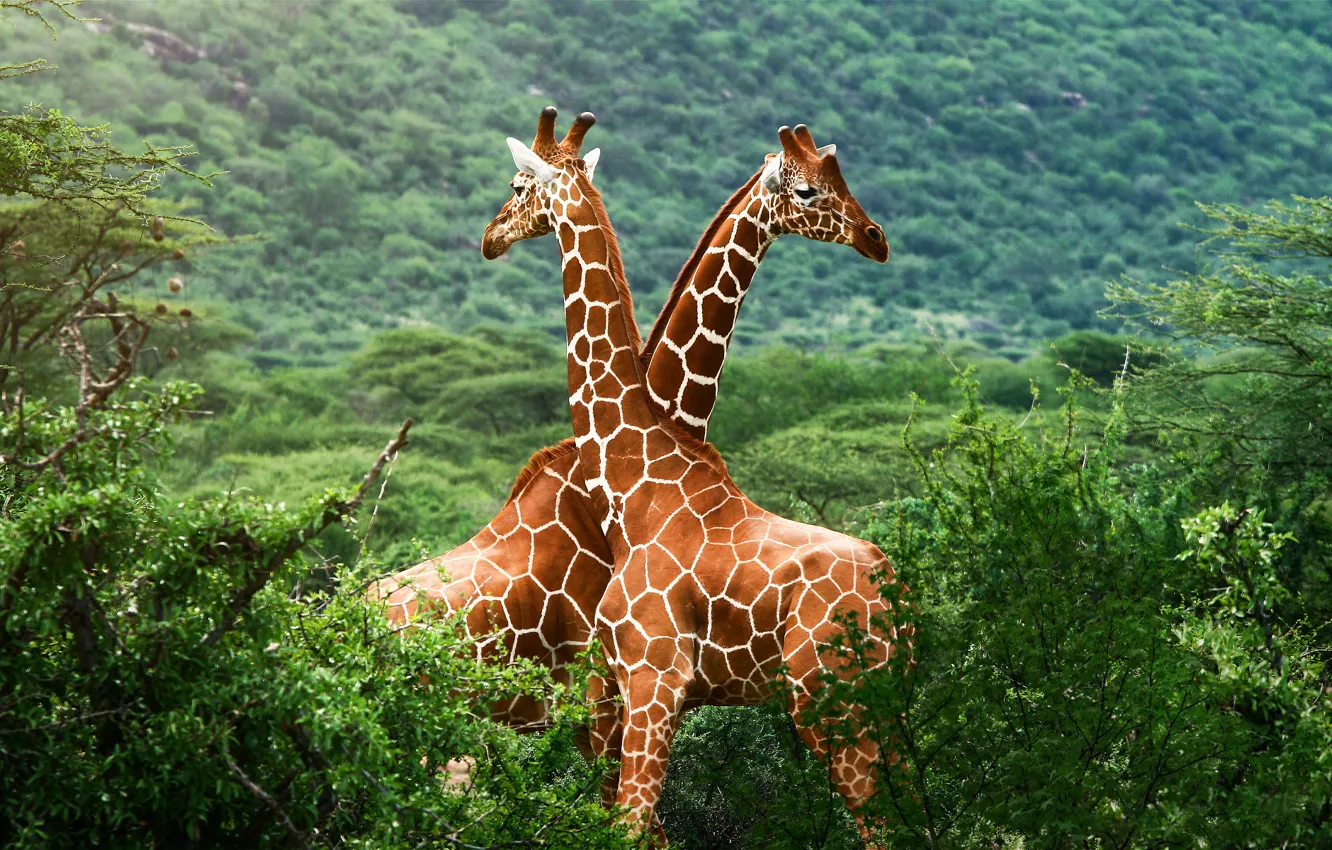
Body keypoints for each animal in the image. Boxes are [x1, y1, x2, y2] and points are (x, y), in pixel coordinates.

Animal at [477, 107, 910, 845]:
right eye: (809, 189)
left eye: (516, 185)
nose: (489, 237)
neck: (636, 479)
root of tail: (898, 598)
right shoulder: (626, 688)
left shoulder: (652, 678)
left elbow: (629, 826)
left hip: (832, 702)